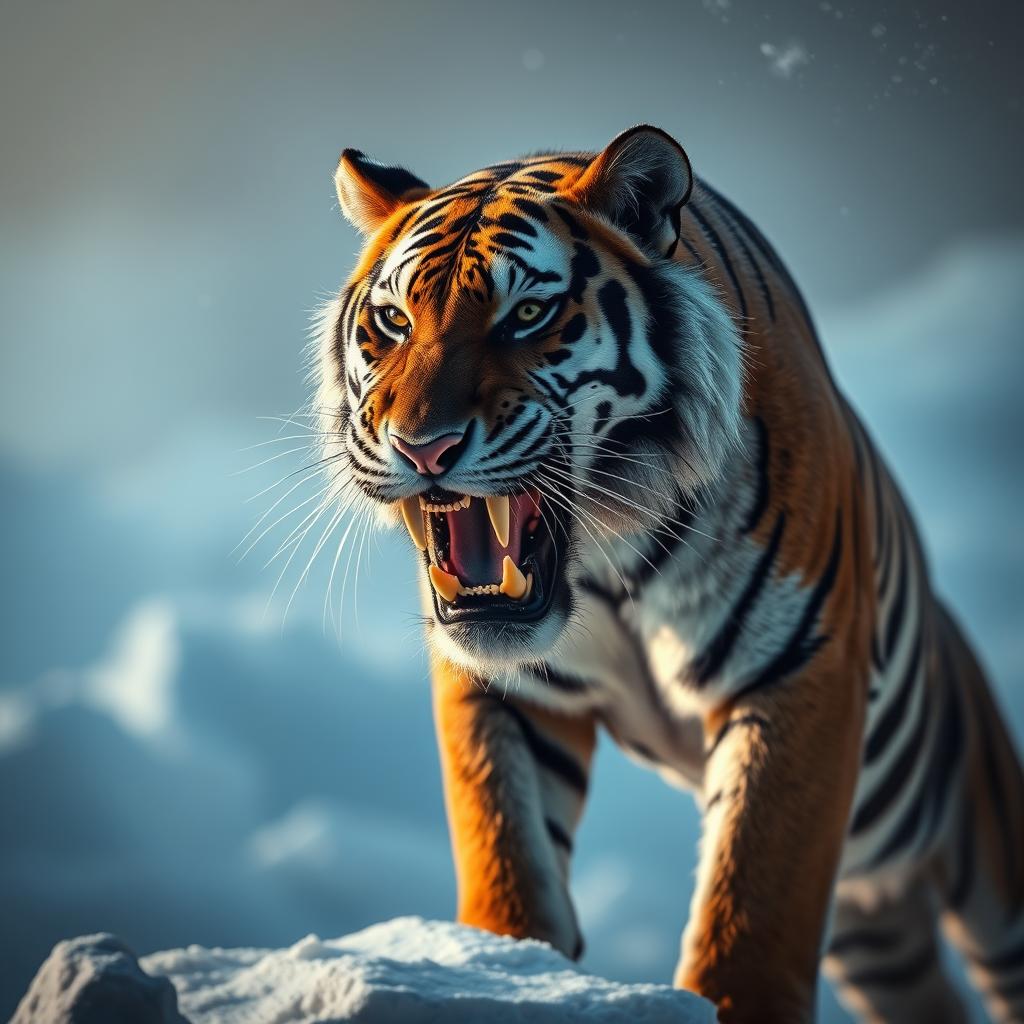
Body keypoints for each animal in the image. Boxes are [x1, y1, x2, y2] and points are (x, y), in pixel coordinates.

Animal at [312, 125, 1024, 1023]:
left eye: (527, 314)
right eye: (393, 320)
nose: (423, 447)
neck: (608, 562)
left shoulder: (800, 675)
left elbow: (753, 911)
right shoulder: (504, 691)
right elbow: (505, 858)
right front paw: (499, 972)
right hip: (875, 925)